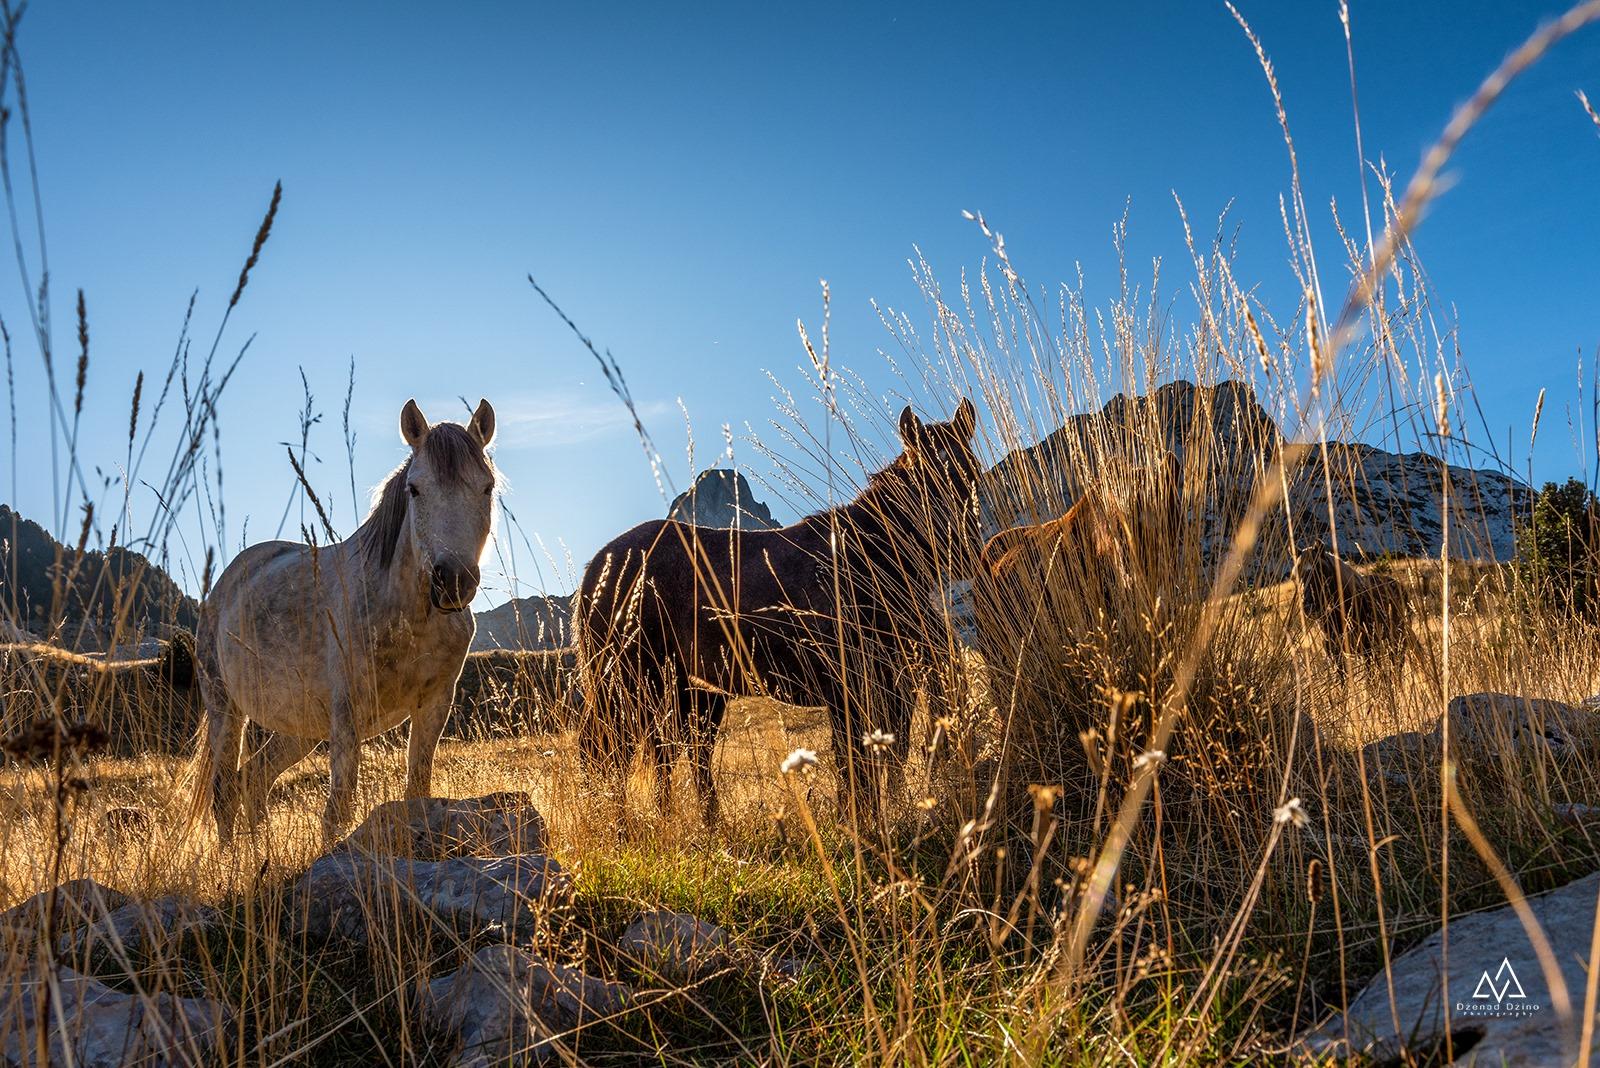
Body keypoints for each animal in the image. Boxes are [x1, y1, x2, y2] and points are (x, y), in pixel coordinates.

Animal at [193, 398, 496, 844]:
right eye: (415, 489)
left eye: (487, 487)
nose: (453, 581)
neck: (407, 617)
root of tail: (222, 587)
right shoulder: (346, 713)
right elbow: (338, 808)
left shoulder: (434, 703)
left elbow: (417, 791)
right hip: (225, 710)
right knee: (225, 792)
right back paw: (233, 857)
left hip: (296, 728)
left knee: (254, 780)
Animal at [576, 396, 972, 824]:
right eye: (925, 477)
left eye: (970, 471)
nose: (962, 550)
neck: (870, 554)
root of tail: (599, 564)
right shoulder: (847, 691)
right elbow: (855, 767)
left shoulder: (887, 688)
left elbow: (881, 763)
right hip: (625, 683)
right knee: (605, 754)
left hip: (679, 689)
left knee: (672, 756)